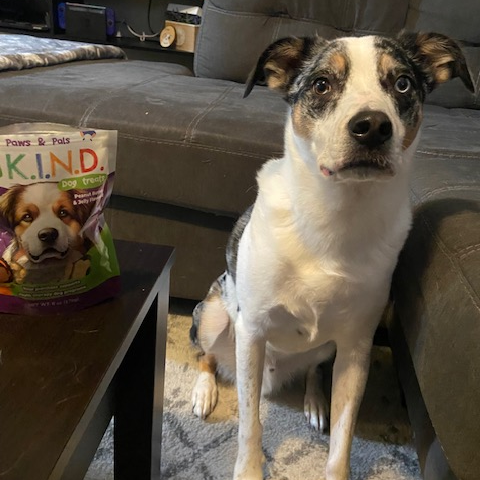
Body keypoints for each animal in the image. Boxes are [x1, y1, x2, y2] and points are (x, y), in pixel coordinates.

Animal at [188, 31, 472, 478]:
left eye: (402, 83)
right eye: (321, 84)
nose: (372, 127)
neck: (337, 217)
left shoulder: (356, 348)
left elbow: (344, 434)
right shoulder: (252, 331)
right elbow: (250, 422)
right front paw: (249, 469)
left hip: (328, 347)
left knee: (313, 370)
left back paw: (315, 400)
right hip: (215, 315)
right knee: (207, 354)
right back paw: (203, 392)